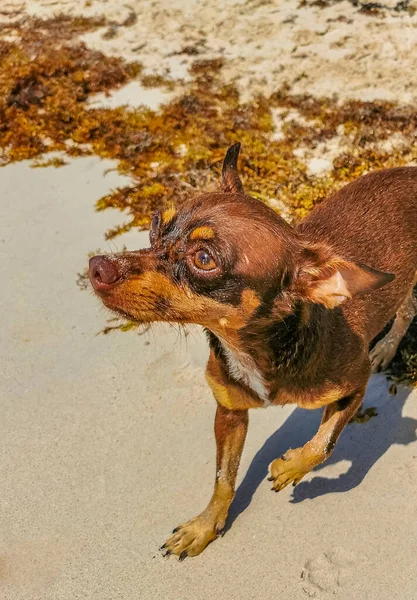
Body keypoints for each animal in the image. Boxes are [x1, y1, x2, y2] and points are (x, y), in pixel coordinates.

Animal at [88, 144, 416, 556]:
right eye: (155, 226)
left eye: (204, 259)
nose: (97, 266)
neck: (256, 348)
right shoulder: (229, 413)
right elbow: (223, 478)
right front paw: (206, 526)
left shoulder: (355, 383)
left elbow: (325, 442)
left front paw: (292, 466)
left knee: (406, 311)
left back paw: (386, 347)